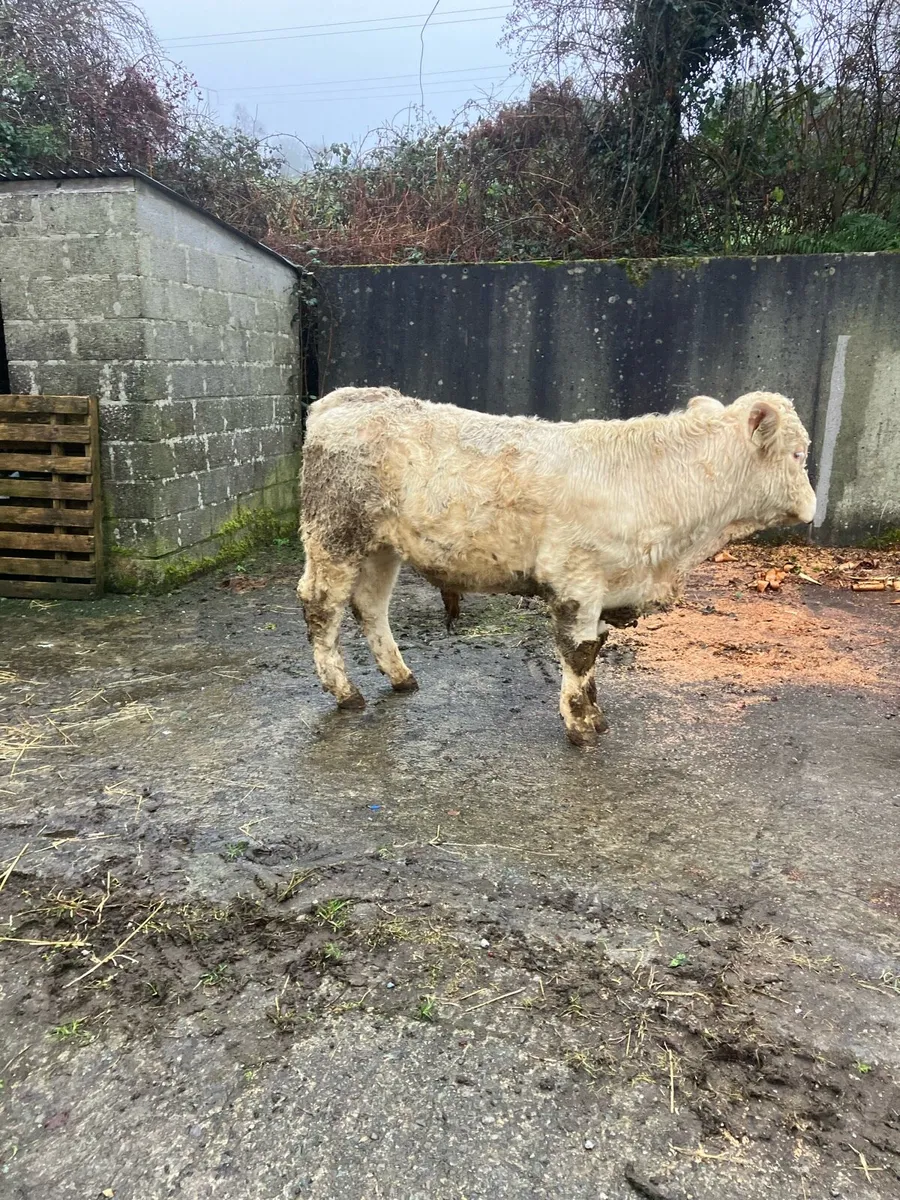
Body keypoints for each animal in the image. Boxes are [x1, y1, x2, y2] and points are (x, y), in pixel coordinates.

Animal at [297, 387, 816, 746]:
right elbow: (578, 654)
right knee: (322, 606)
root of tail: (348, 397)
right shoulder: (577, 580)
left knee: (370, 606)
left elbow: (596, 651)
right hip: (334, 535)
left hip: (382, 547)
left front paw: (596, 716)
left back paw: (401, 677)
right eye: (798, 453)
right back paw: (345, 692)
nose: (813, 507)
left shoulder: (607, 587)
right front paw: (580, 726)